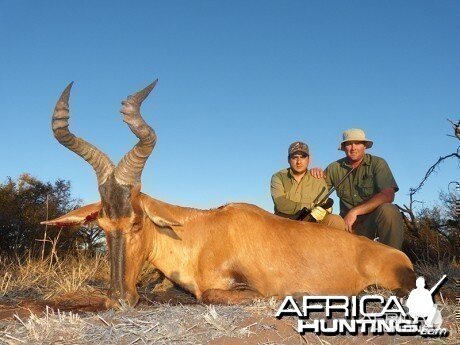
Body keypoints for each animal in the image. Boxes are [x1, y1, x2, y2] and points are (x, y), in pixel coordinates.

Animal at [42, 81, 416, 306]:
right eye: (103, 226)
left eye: (137, 222)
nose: (117, 300)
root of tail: (401, 257)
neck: (204, 230)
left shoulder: (250, 288)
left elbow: (209, 294)